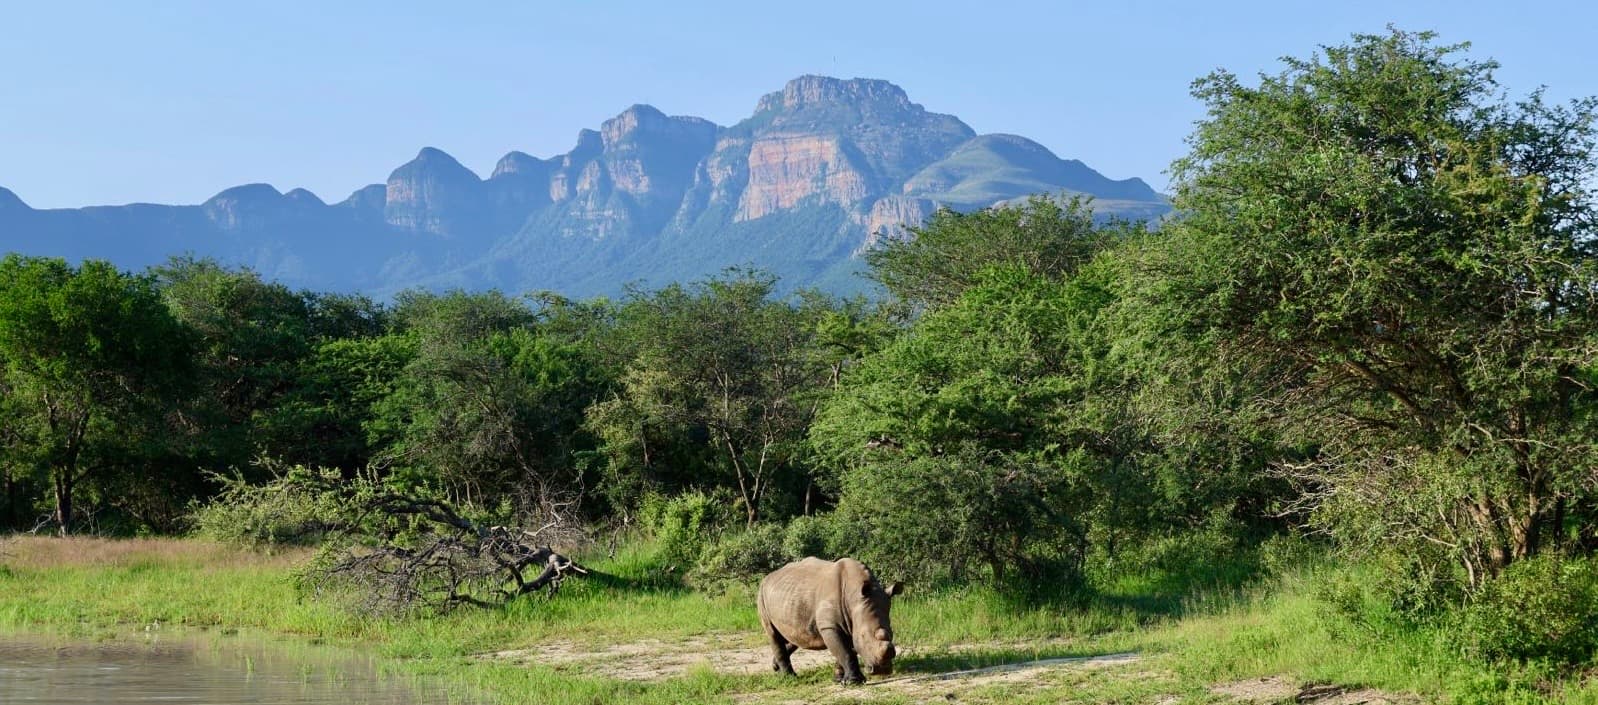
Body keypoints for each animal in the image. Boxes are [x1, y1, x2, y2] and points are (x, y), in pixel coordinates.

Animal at [757, 557, 903, 684]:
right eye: (863, 637)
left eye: (891, 634)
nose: (883, 670)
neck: (854, 597)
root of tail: (767, 577)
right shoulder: (830, 626)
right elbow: (846, 652)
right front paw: (854, 682)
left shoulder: (851, 622)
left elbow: (846, 650)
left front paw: (839, 679)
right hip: (762, 594)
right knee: (773, 633)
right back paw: (790, 678)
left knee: (795, 635)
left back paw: (776, 667)